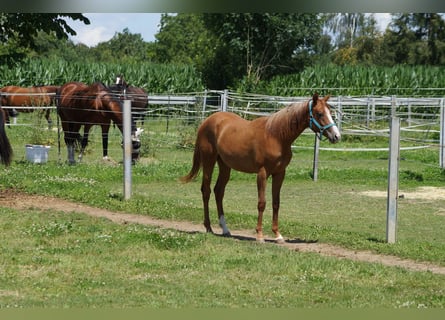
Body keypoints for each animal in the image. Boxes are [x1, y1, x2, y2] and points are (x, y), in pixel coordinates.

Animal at [180, 94, 340, 244]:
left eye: (330, 111)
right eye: (319, 113)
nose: (336, 136)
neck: (276, 136)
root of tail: (207, 121)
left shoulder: (279, 174)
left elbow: (276, 203)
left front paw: (278, 235)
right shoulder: (262, 174)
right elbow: (262, 203)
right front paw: (260, 235)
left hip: (225, 165)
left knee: (219, 192)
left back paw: (225, 229)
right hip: (209, 161)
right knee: (206, 191)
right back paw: (208, 227)